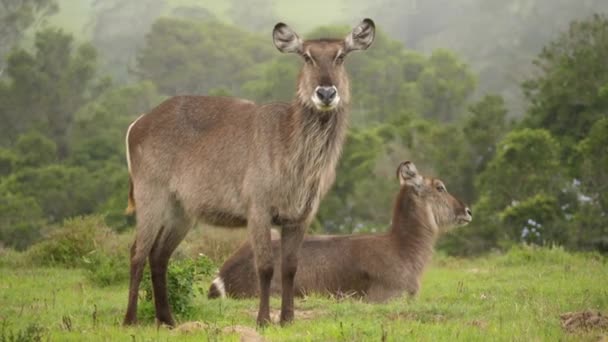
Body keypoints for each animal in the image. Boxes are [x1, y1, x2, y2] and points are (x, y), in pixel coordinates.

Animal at [122, 18, 376, 326]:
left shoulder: (300, 215)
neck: (291, 149)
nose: (326, 93)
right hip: (151, 196)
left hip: (181, 210)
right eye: (307, 56)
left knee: (159, 255)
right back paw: (130, 320)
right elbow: (265, 266)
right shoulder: (258, 208)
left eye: (341, 56)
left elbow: (290, 267)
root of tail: (138, 123)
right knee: (137, 251)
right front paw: (264, 319)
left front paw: (287, 319)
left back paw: (167, 321)